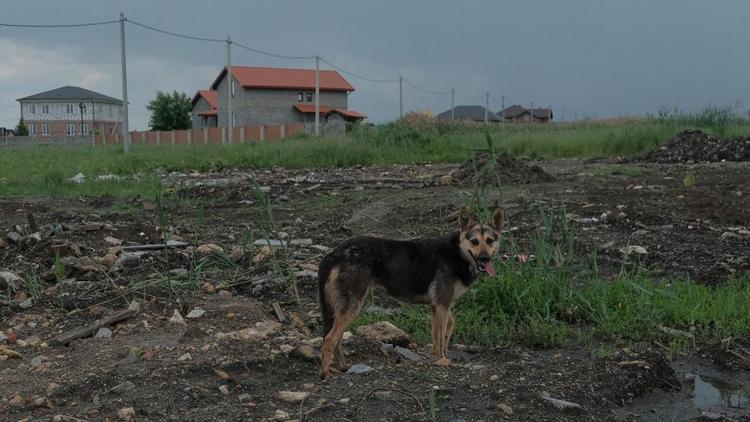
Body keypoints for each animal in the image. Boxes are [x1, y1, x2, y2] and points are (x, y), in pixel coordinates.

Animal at [318, 204, 506, 380]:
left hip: (343, 309)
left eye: (490, 241)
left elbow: (444, 331)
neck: (458, 253)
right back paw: (325, 373)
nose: (484, 258)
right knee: (329, 339)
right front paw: (442, 360)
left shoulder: (438, 306)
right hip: (352, 306)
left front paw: (440, 356)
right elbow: (440, 336)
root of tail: (335, 252)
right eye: (474, 241)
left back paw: (343, 366)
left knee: (336, 339)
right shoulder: (442, 305)